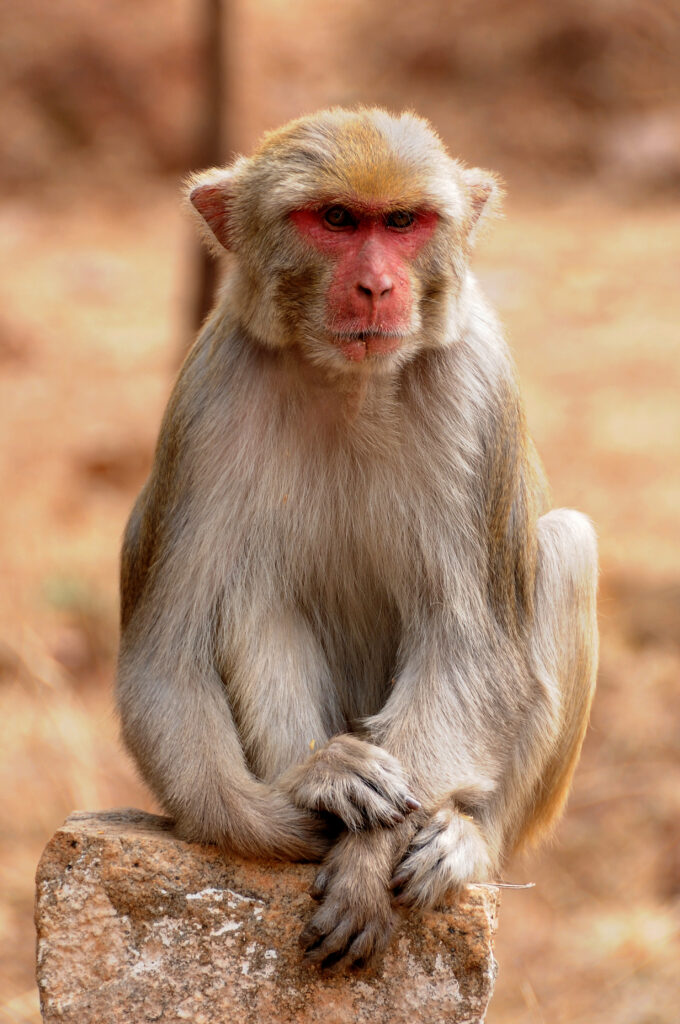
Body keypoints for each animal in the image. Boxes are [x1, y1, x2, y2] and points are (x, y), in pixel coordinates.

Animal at [116, 107, 598, 970]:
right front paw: (297, 802)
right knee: (253, 593)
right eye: (337, 219)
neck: (350, 383)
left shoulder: (475, 384)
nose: (377, 285)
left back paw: (468, 838)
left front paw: (369, 864)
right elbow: (165, 661)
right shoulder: (208, 399)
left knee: (566, 547)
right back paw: (329, 773)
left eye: (402, 223)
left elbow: (473, 650)